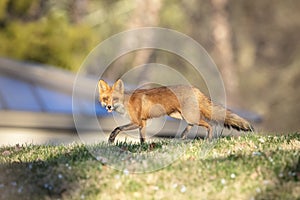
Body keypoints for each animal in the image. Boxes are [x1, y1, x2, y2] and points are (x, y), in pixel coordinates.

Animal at [98, 79, 253, 143]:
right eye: (105, 99)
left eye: (114, 99)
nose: (108, 107)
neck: (126, 102)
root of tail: (194, 88)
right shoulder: (143, 123)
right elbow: (142, 139)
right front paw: (143, 149)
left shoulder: (137, 122)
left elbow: (118, 128)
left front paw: (111, 138)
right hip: (180, 116)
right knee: (192, 125)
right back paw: (182, 136)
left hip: (189, 116)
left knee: (209, 125)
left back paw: (208, 139)